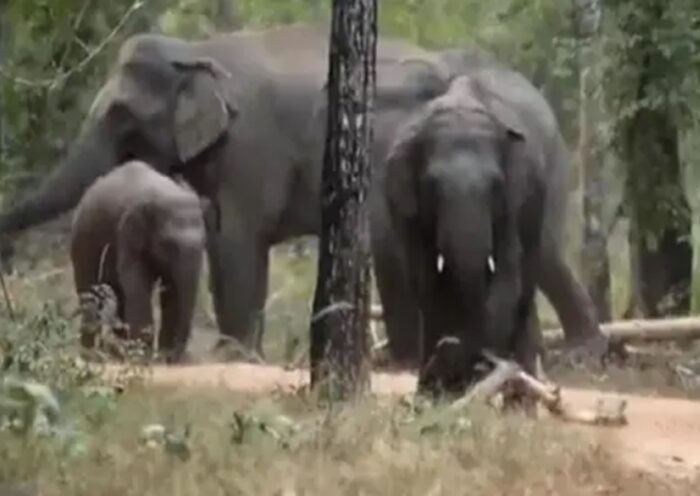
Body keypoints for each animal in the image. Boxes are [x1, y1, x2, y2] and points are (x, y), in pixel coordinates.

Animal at [72, 161, 206, 362]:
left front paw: (161, 356)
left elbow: (171, 290)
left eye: (204, 242)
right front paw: (143, 357)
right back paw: (90, 355)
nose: (174, 357)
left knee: (117, 296)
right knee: (89, 294)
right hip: (82, 244)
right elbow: (137, 286)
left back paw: (119, 351)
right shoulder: (127, 236)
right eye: (169, 244)